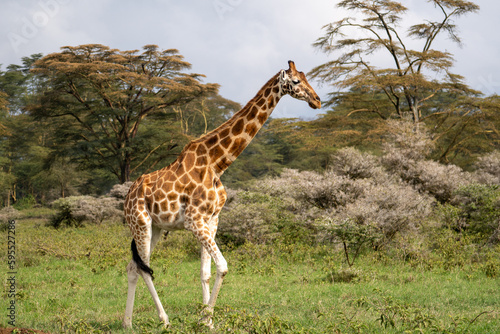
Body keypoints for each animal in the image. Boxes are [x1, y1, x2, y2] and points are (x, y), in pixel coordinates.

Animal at [123, 60, 322, 328]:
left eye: (306, 76)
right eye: (296, 81)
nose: (317, 101)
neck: (217, 163)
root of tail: (127, 196)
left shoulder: (212, 219)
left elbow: (206, 272)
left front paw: (206, 321)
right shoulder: (194, 220)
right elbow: (223, 267)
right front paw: (206, 318)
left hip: (155, 228)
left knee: (133, 267)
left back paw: (127, 323)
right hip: (140, 223)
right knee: (144, 269)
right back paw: (164, 321)